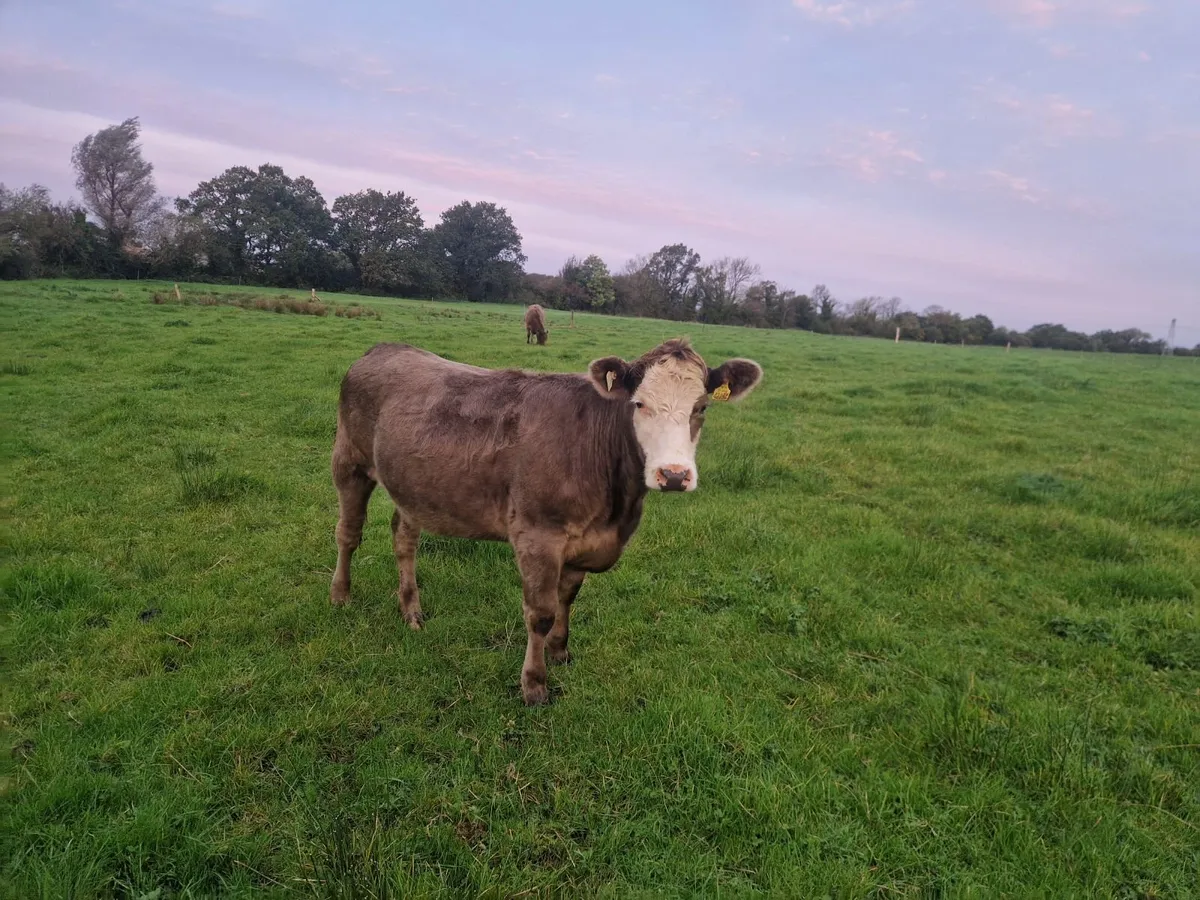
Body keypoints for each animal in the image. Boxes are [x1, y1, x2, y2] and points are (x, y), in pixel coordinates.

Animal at [329, 338, 763, 705]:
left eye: (701, 407)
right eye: (639, 405)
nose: (673, 475)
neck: (615, 509)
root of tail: (385, 348)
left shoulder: (584, 542)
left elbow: (566, 599)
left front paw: (560, 651)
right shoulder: (538, 535)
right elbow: (540, 613)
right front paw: (534, 684)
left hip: (414, 487)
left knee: (404, 538)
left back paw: (411, 610)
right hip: (349, 460)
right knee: (348, 534)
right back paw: (340, 595)